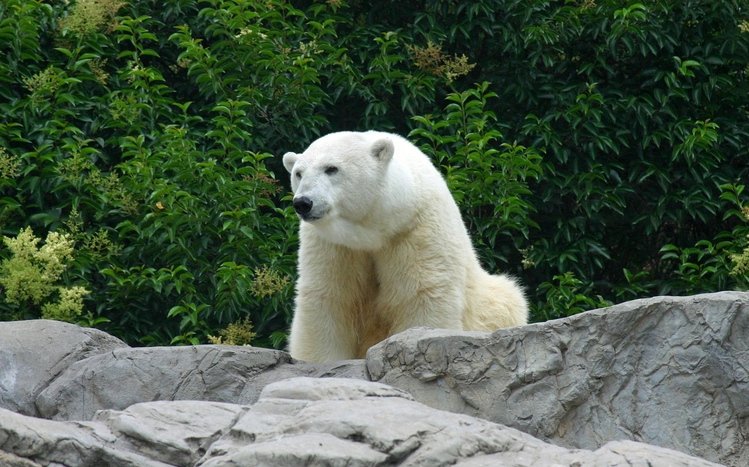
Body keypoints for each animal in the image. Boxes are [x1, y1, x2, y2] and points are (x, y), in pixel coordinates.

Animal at [282, 131, 527, 362]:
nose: (303, 202)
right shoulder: (333, 243)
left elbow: (420, 293)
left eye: (331, 168)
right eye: (298, 173)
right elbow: (330, 297)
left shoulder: (416, 229)